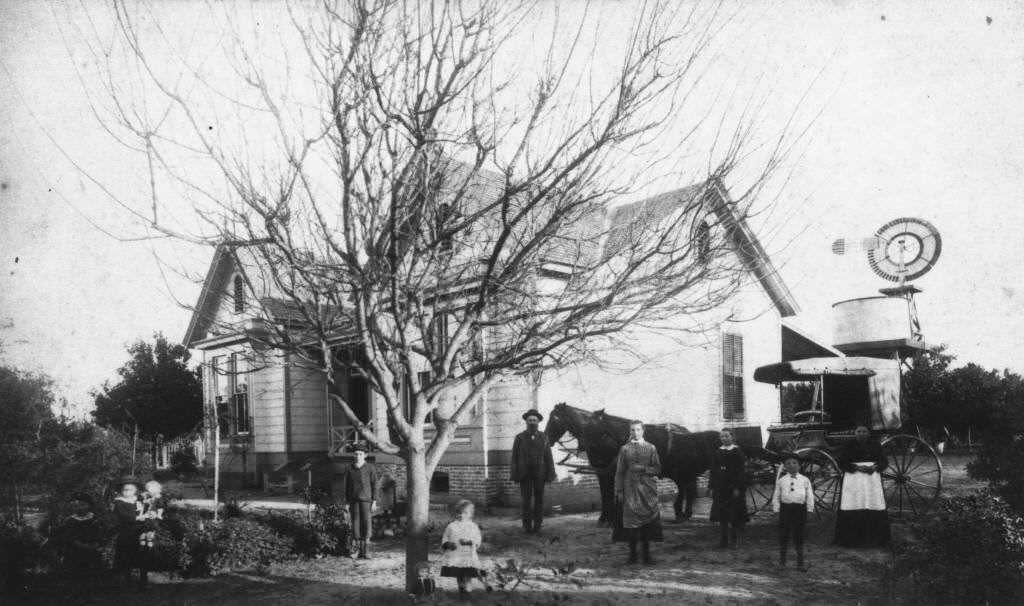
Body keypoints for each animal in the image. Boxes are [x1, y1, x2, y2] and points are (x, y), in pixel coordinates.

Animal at [544, 403, 720, 524]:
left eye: (554, 419)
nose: (546, 439)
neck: (603, 435)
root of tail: (684, 431)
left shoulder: (608, 470)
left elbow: (608, 493)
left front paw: (608, 518)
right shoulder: (603, 469)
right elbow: (606, 493)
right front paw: (608, 517)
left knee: (687, 488)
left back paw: (683, 514)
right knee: (687, 488)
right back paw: (683, 513)